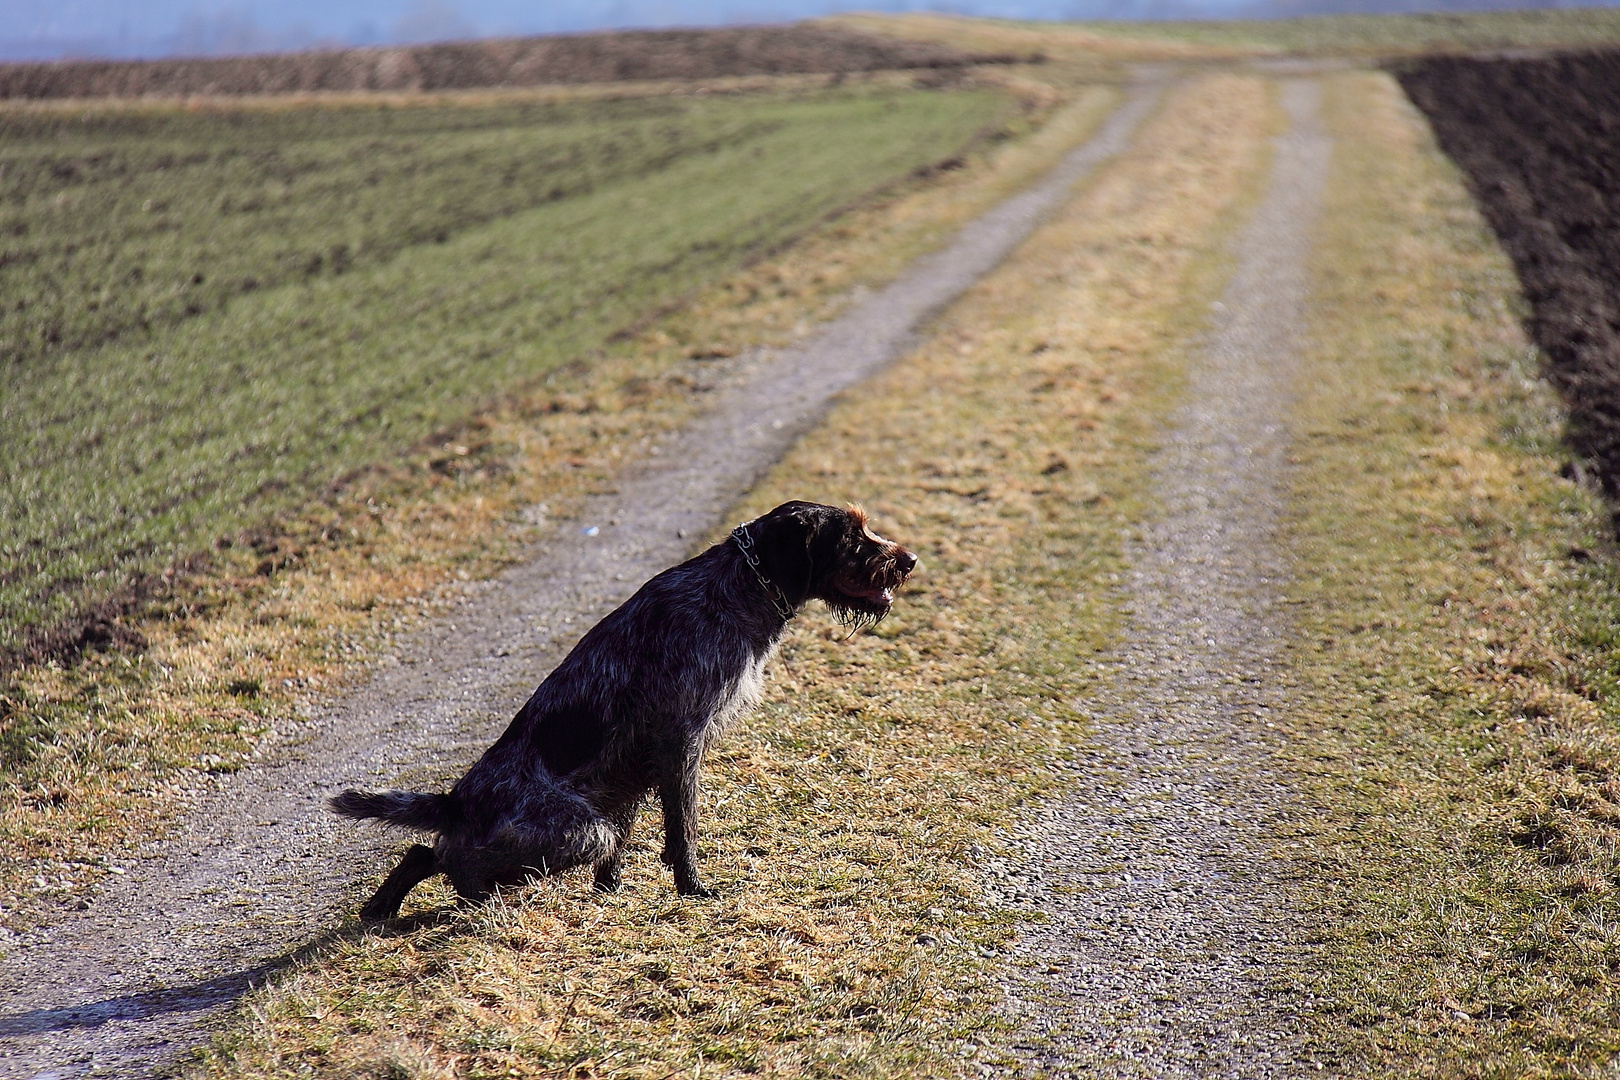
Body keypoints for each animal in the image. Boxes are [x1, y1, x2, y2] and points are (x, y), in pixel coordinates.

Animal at [332, 501, 913, 919]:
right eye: (853, 536)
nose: (909, 560)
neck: (735, 590)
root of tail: (455, 801)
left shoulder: (636, 766)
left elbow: (634, 839)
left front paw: (611, 891)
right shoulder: (680, 741)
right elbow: (682, 828)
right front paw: (691, 887)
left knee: (427, 854)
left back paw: (381, 907)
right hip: (575, 830)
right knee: (449, 861)